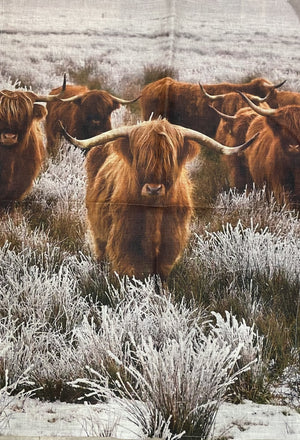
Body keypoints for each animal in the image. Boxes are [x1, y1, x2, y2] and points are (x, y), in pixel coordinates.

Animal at [61, 118, 258, 280]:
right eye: (140, 157)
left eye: (169, 158)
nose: (153, 188)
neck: (153, 213)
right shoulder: (125, 240)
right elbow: (131, 271)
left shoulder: (170, 241)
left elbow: (161, 274)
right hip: (98, 229)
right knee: (101, 251)